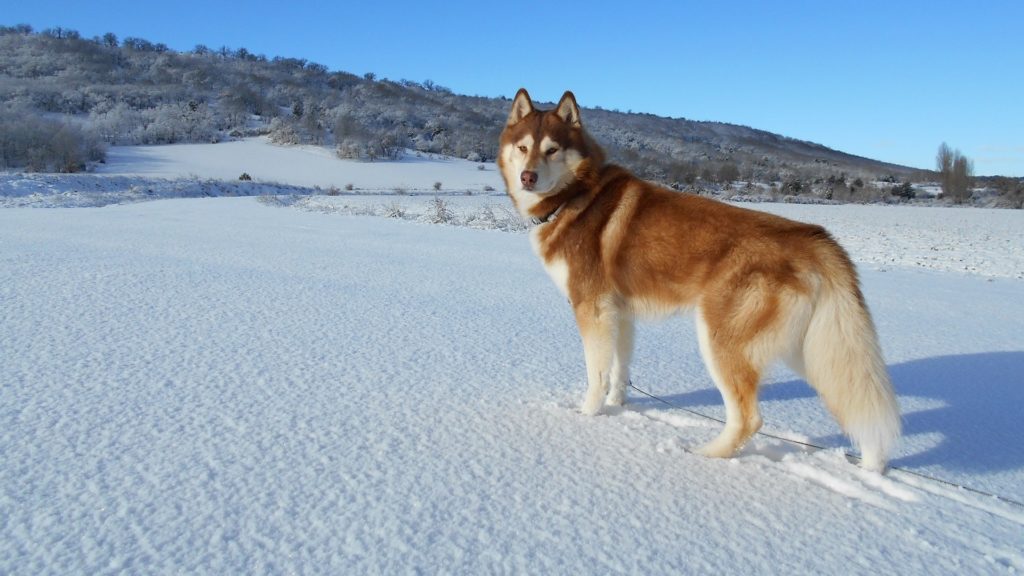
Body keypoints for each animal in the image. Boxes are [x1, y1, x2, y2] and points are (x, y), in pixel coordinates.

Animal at [499, 87, 901, 469]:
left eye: (552, 150)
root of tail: (812, 237)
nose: (527, 176)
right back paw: (872, 464)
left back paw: (705, 456)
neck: (576, 195)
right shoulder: (620, 314)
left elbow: (595, 375)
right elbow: (619, 370)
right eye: (523, 147)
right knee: (855, 399)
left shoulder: (592, 310)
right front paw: (618, 406)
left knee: (749, 418)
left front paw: (586, 417)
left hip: (721, 341)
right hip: (813, 349)